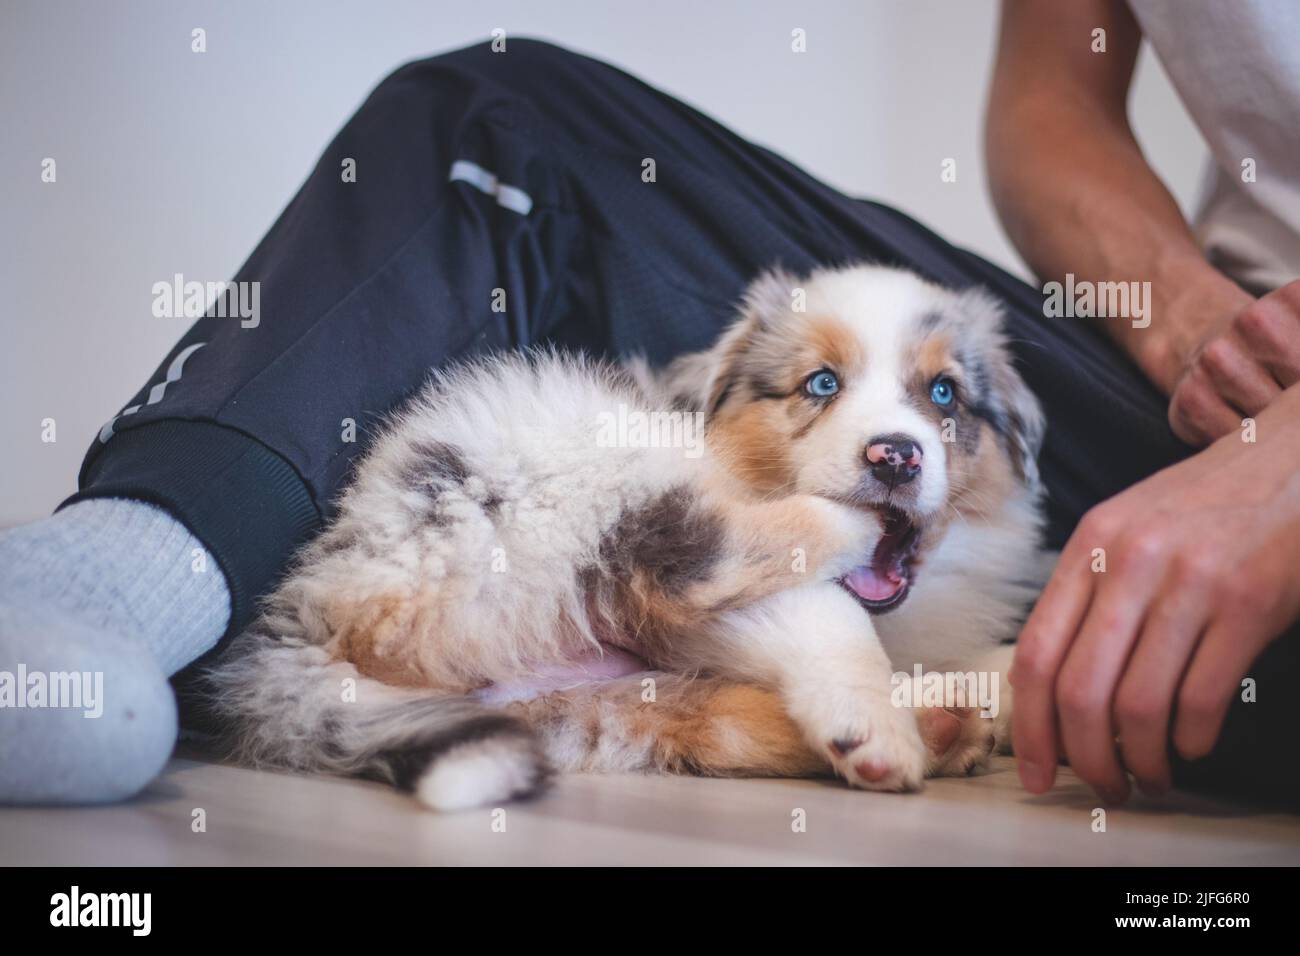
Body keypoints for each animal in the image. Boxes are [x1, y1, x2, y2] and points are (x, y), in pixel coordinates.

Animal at [205, 265, 1055, 811]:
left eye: (944, 394)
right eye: (821, 384)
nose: (896, 456)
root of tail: (306, 608)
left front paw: (1005, 686)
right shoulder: (742, 601)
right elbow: (828, 615)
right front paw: (874, 726)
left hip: (604, 706)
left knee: (711, 718)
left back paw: (942, 724)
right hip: (568, 465)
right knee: (688, 562)